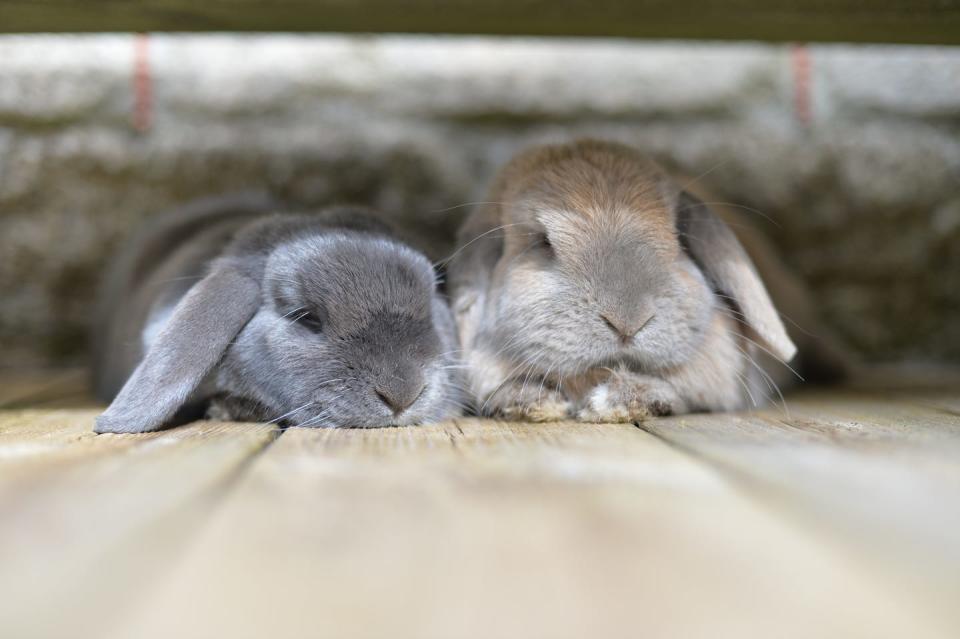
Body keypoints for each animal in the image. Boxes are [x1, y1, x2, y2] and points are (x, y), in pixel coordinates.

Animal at [450, 138, 848, 422]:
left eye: (678, 237)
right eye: (542, 242)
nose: (627, 321)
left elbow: (678, 389)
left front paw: (611, 403)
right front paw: (533, 402)